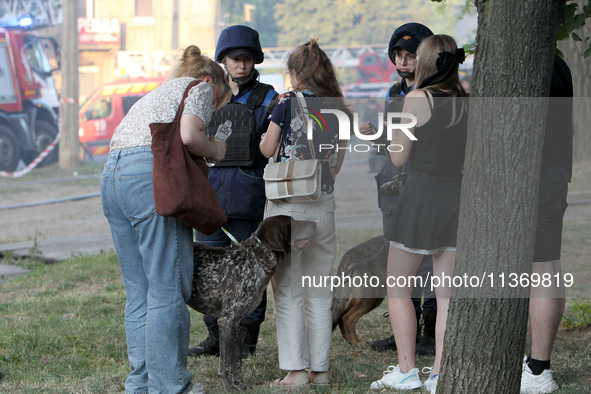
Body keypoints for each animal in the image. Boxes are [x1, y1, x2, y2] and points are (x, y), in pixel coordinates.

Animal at [190, 215, 320, 390]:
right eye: (291, 223)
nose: (314, 223)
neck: (255, 260)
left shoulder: (237, 323)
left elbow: (236, 361)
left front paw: (240, 386)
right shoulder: (227, 320)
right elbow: (226, 364)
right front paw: (230, 388)